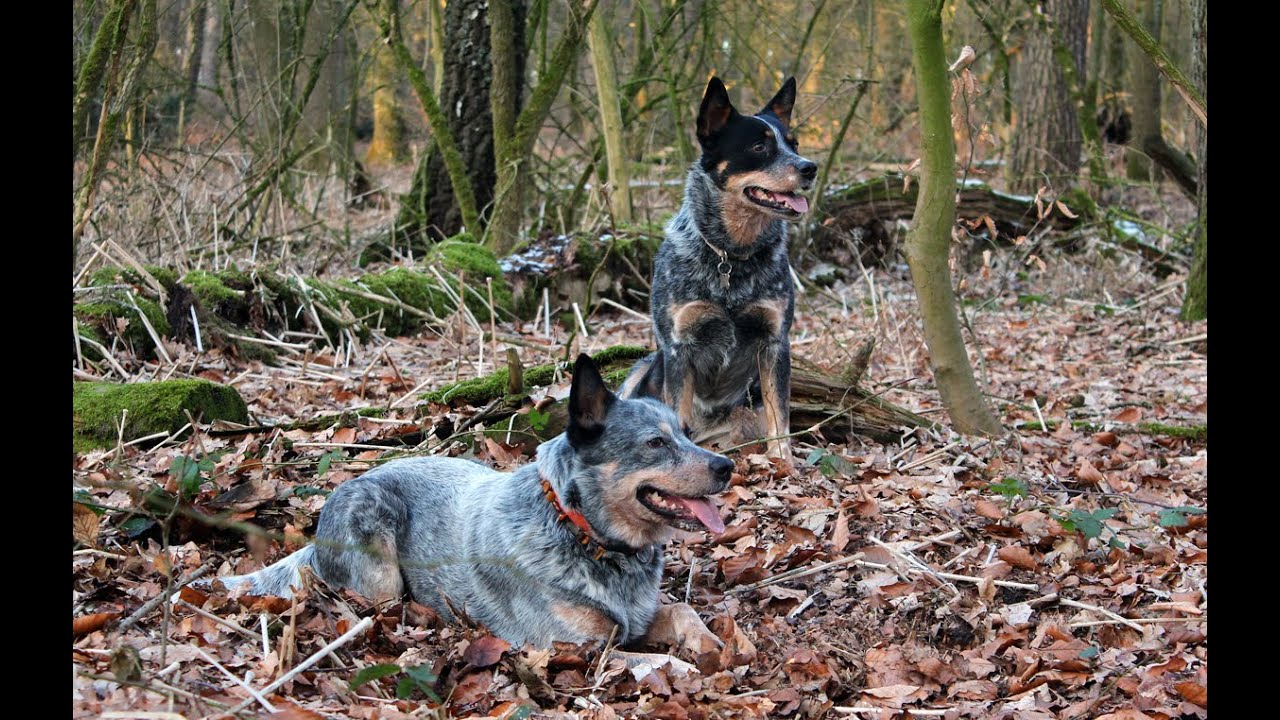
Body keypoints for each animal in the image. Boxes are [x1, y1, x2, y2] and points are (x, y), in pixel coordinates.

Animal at [206, 353, 737, 645]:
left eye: (687, 435)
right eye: (655, 443)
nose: (726, 466)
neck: (578, 528)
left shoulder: (641, 616)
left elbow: (684, 613)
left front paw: (719, 643)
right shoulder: (578, 644)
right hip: (379, 565)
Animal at [622, 75, 819, 468]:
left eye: (793, 144)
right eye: (759, 146)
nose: (810, 167)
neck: (732, 255)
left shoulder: (775, 341)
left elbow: (780, 414)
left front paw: (784, 462)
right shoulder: (678, 346)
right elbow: (677, 411)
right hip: (638, 371)